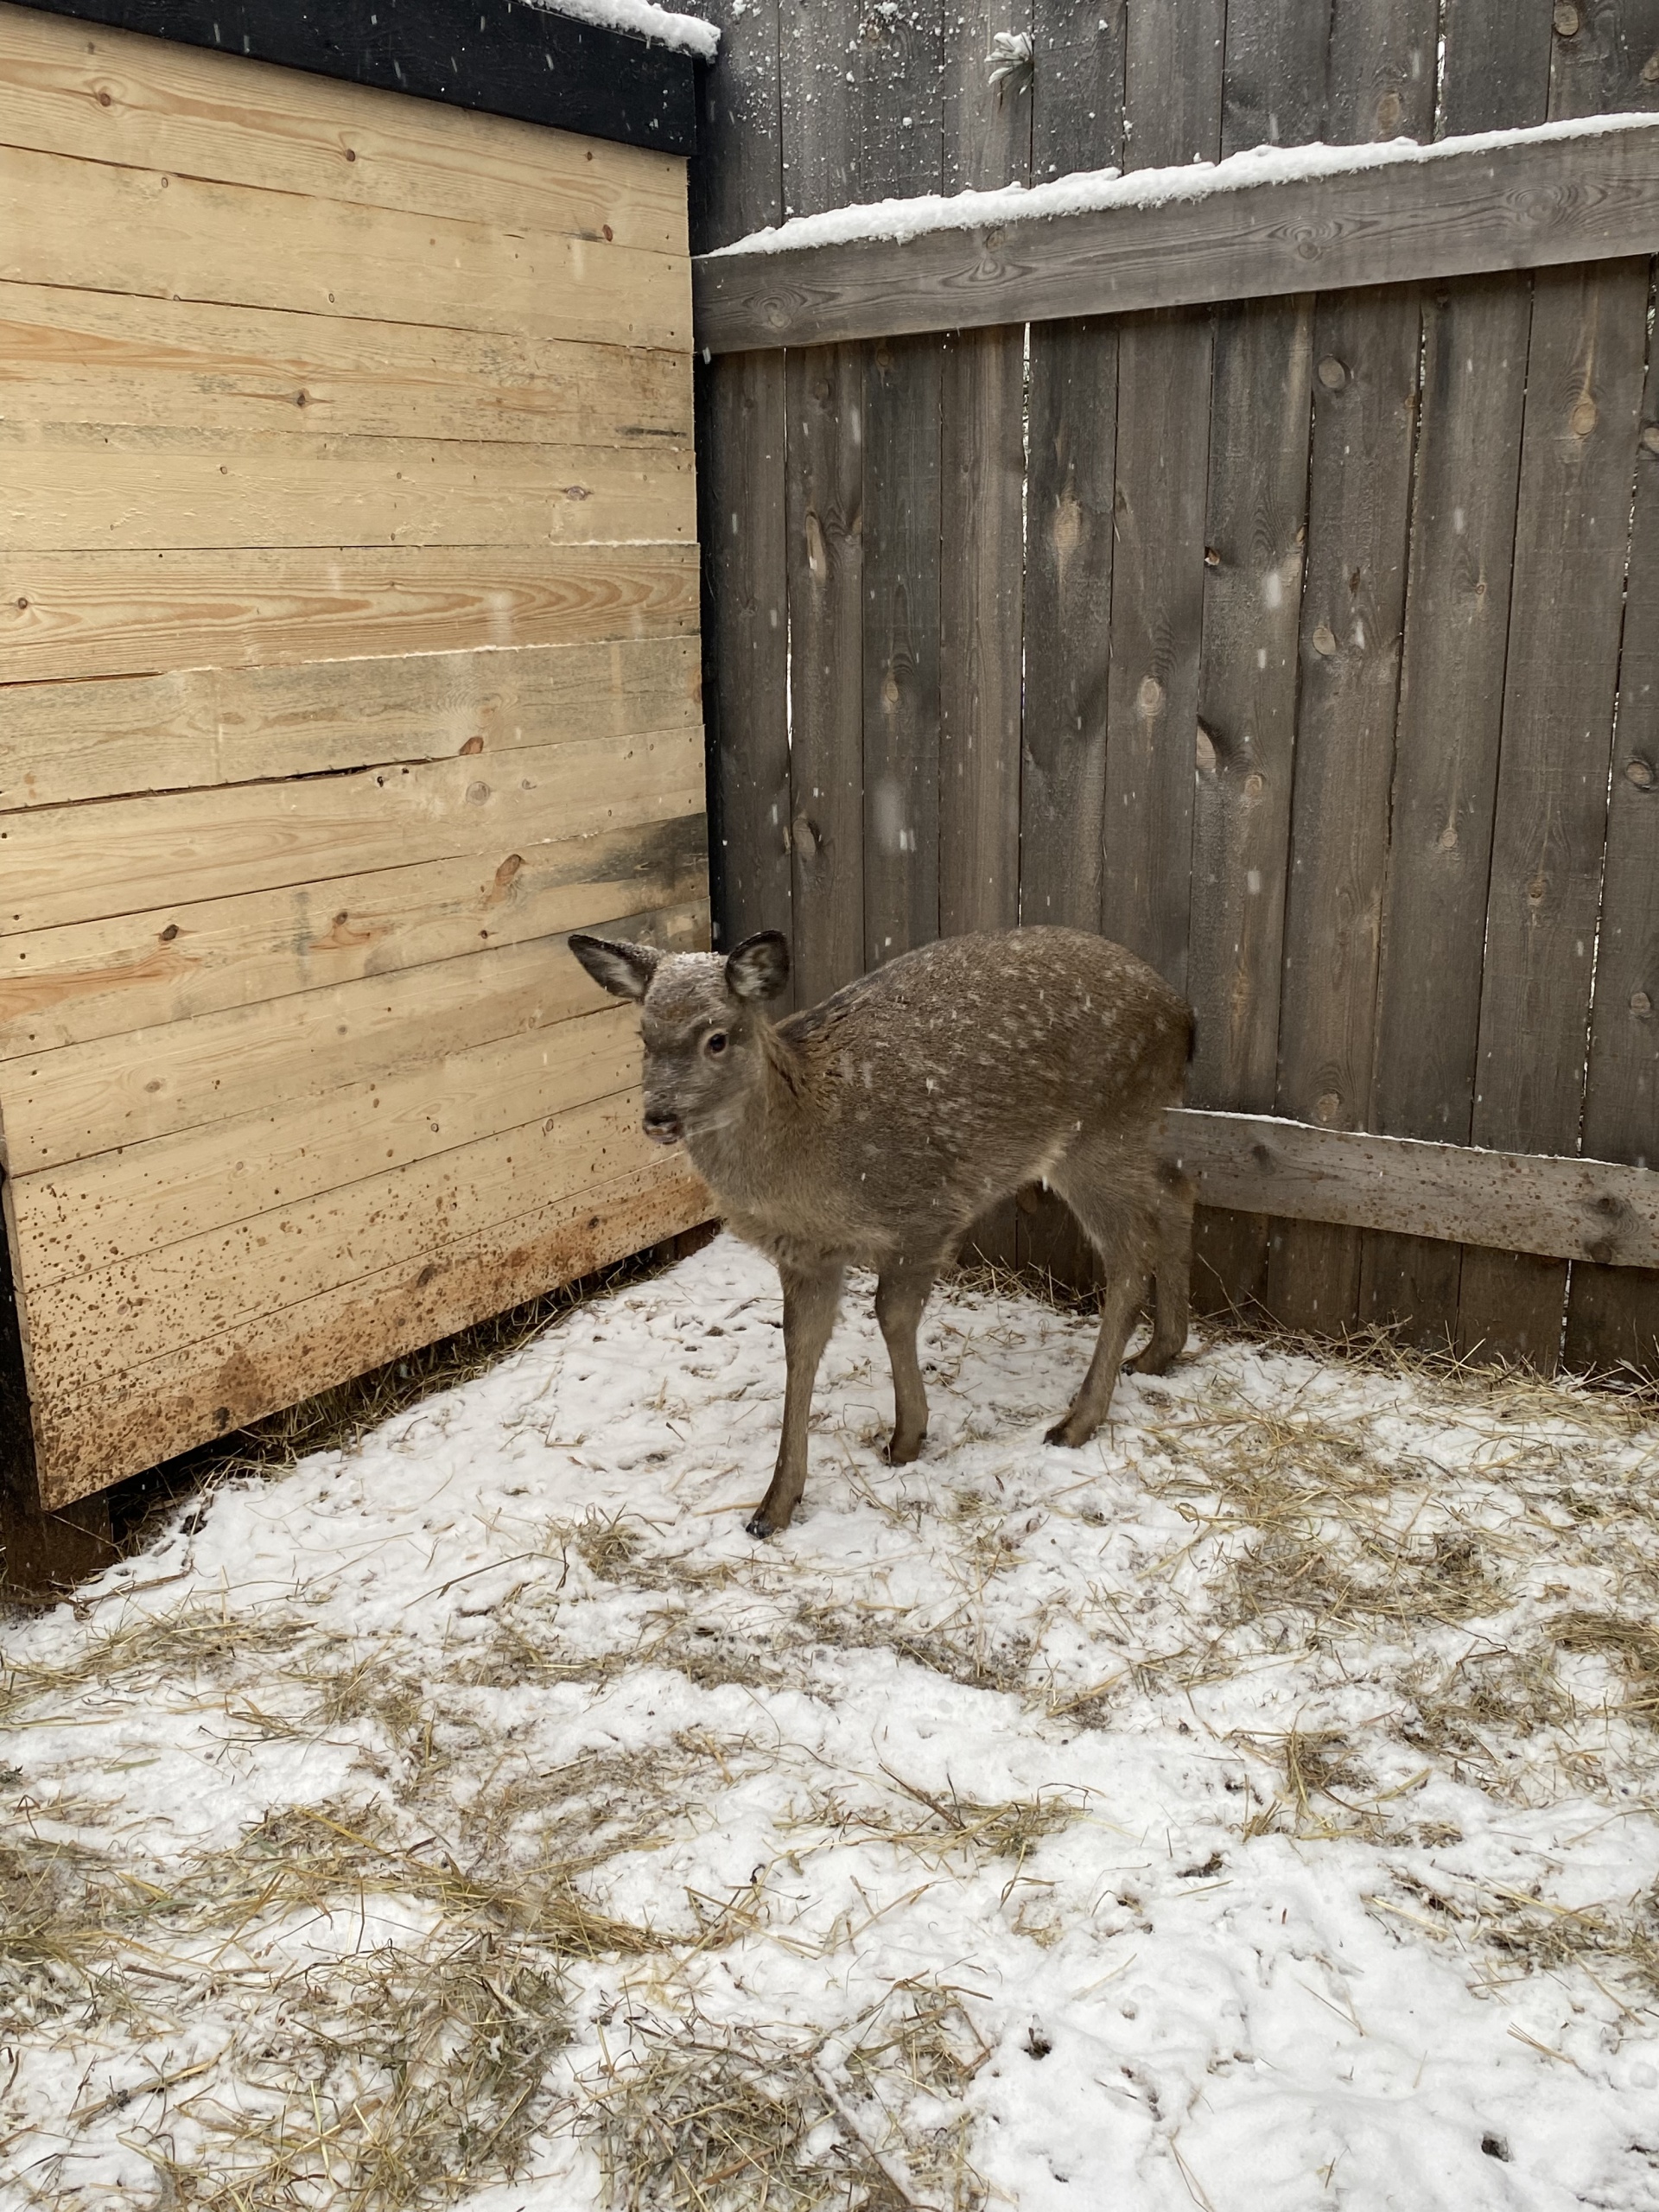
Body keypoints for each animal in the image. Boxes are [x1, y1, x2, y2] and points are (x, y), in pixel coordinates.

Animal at [570, 929, 1194, 1539]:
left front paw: (906, 1437)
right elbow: (800, 1347)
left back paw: (1078, 1420)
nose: (659, 1117)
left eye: (717, 1038)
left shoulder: (924, 1212)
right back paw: (1159, 1353)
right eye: (643, 1035)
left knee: (1130, 1254)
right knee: (1178, 1192)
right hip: (1134, 1130)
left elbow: (891, 1315)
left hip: (1100, 1131)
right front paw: (774, 1507)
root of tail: (1185, 1018)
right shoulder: (805, 1256)